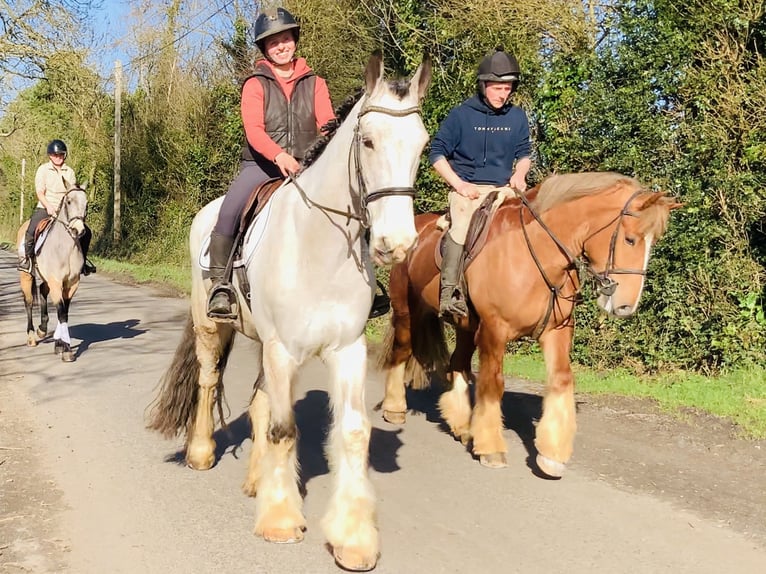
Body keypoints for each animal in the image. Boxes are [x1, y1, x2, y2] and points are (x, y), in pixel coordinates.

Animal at [17, 185, 89, 362]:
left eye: (87, 204)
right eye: (69, 201)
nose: (78, 230)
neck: (65, 247)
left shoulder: (71, 283)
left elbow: (65, 312)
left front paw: (60, 345)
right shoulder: (56, 281)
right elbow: (61, 312)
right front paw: (67, 350)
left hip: (47, 278)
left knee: (42, 290)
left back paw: (42, 329)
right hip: (26, 275)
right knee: (28, 302)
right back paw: (31, 336)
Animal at [146, 52, 431, 571]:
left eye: (420, 144)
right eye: (368, 140)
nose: (396, 244)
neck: (320, 248)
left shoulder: (346, 350)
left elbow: (352, 432)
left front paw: (353, 538)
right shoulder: (284, 349)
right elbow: (282, 429)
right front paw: (280, 521)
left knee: (259, 399)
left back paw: (258, 479)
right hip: (211, 328)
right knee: (208, 380)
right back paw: (200, 452)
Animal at [378, 172, 681, 477]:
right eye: (630, 240)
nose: (625, 306)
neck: (537, 256)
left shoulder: (557, 331)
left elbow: (561, 380)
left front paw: (552, 455)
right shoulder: (494, 331)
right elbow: (493, 384)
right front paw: (491, 448)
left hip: (464, 326)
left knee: (458, 364)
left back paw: (462, 426)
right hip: (406, 311)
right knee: (402, 352)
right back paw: (394, 409)